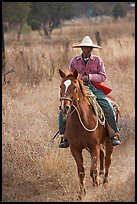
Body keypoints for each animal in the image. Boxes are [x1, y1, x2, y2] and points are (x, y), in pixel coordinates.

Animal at [58, 68, 114, 198]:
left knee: (108, 158)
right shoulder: (75, 149)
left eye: (74, 87)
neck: (80, 121)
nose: (65, 107)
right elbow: (81, 171)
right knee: (103, 154)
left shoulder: (93, 146)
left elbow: (94, 165)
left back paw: (105, 181)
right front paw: (81, 192)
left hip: (109, 141)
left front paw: (96, 181)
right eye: (60, 86)